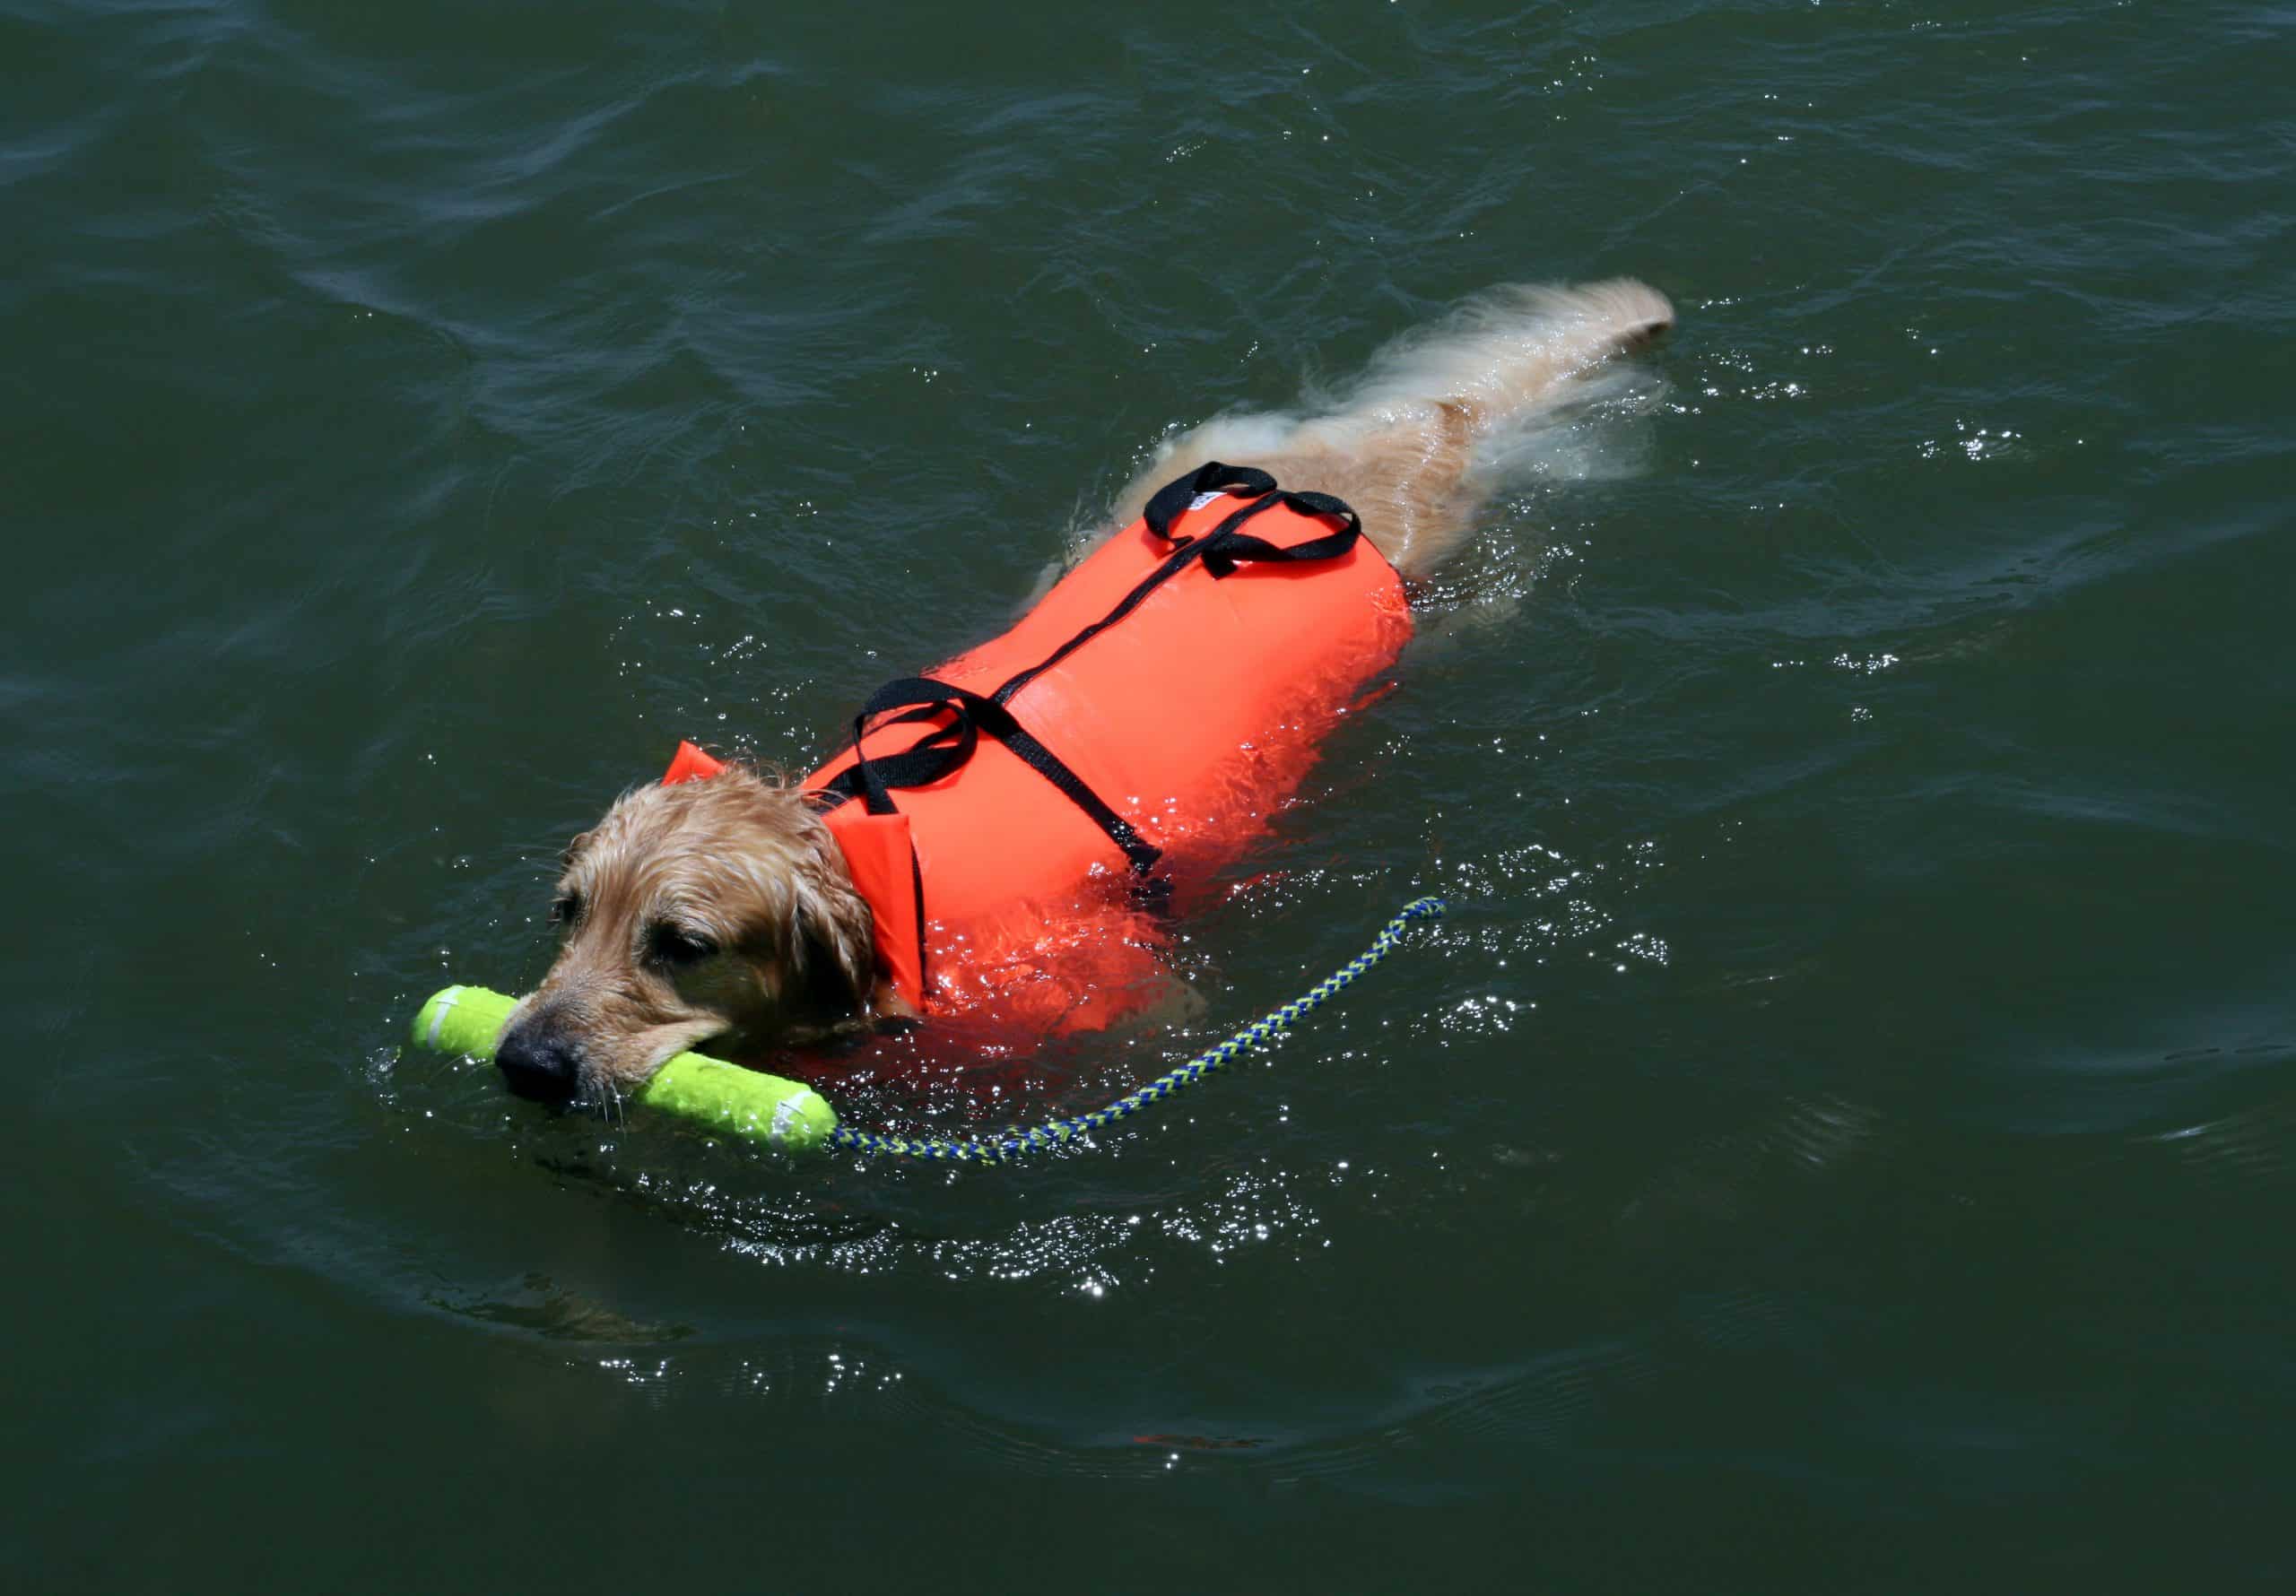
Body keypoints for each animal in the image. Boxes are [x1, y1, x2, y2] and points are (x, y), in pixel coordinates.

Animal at [498, 281, 1671, 1106]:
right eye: (568, 910)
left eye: (685, 945)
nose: (522, 1062)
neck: (876, 865)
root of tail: (1423, 429)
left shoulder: (1117, 993)